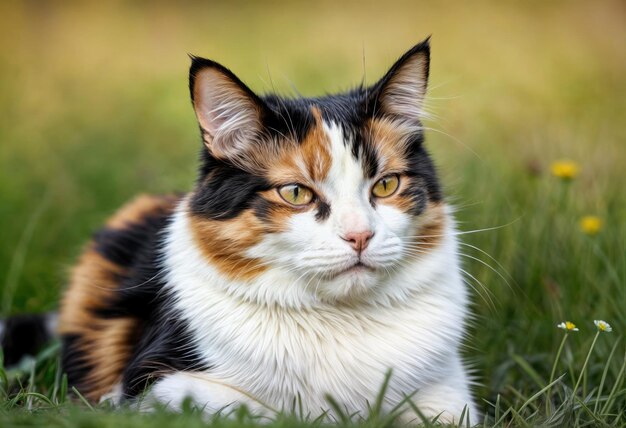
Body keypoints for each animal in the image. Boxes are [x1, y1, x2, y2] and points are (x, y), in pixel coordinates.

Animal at [3, 37, 478, 424]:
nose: (360, 236)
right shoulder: (155, 386)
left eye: (385, 185)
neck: (339, 319)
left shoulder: (449, 392)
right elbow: (266, 410)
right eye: (295, 193)